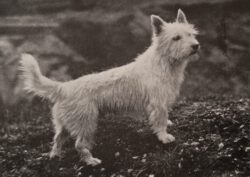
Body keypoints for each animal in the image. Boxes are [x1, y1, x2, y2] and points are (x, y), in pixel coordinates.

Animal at [19, 9, 199, 165]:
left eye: (190, 34)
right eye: (176, 38)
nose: (195, 45)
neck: (164, 62)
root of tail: (65, 87)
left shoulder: (161, 102)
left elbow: (163, 117)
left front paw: (168, 124)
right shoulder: (158, 103)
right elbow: (159, 121)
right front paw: (164, 137)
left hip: (65, 122)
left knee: (57, 138)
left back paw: (55, 155)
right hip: (87, 122)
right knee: (79, 144)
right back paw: (91, 161)